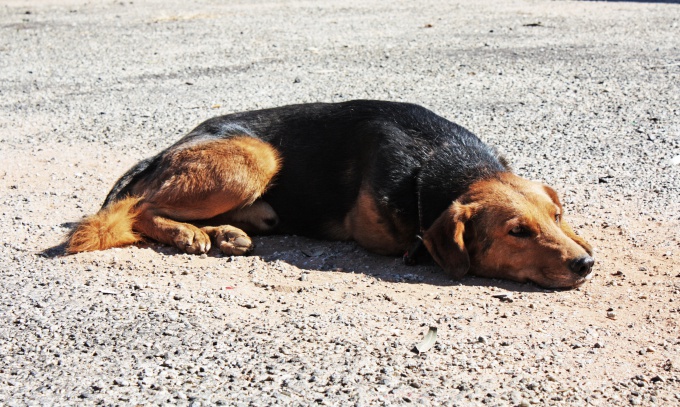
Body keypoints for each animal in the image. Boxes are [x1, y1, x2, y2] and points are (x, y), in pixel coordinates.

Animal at [66, 100, 592, 288]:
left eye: (557, 215)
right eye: (516, 232)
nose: (585, 265)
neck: (440, 159)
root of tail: (163, 151)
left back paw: (224, 233)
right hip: (256, 156)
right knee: (139, 209)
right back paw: (188, 234)